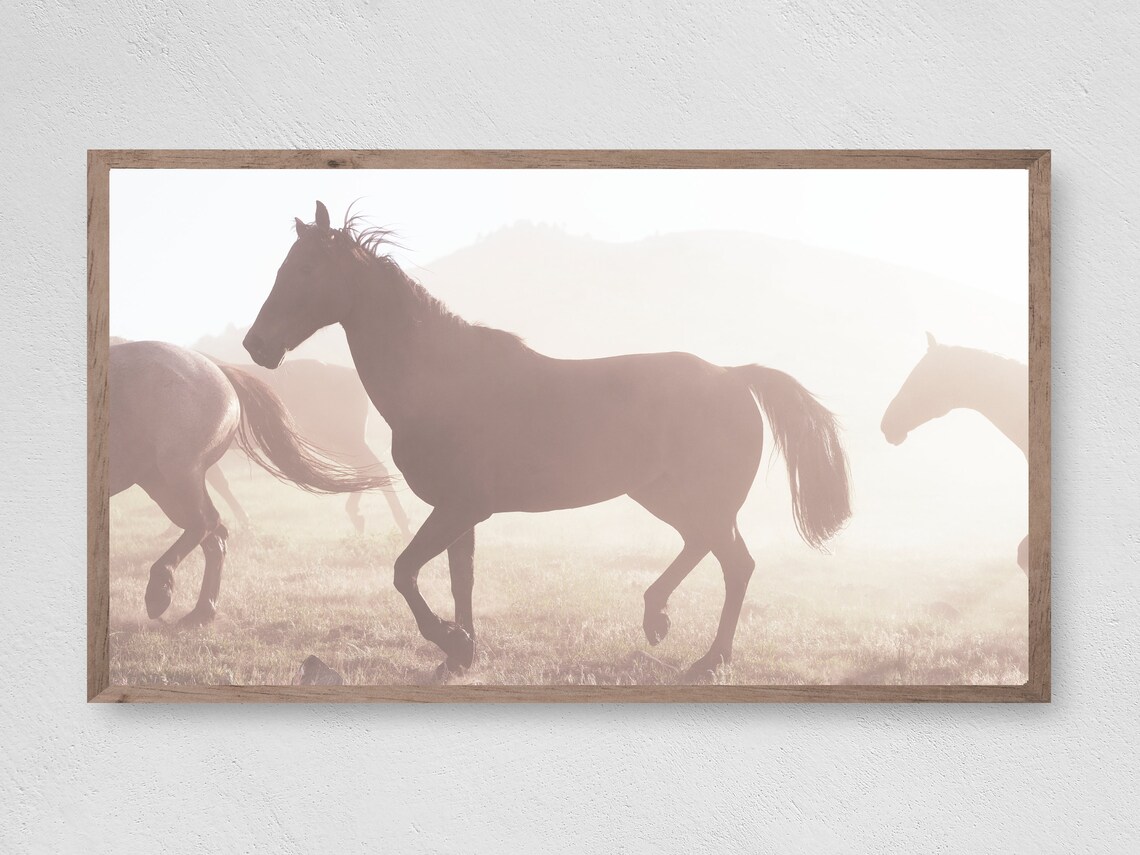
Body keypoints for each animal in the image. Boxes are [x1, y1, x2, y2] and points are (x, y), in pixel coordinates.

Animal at [203, 359, 413, 539]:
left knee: (375, 468)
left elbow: (220, 484)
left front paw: (245, 525)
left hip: (341, 439)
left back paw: (401, 526)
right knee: (366, 470)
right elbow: (220, 483)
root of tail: (352, 375)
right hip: (335, 442)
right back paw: (360, 516)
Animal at [242, 202, 852, 681]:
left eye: (306, 269)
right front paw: (461, 652)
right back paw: (673, 629)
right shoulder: (459, 511)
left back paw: (693, 647)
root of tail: (733, 375)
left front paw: (452, 641)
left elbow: (404, 572)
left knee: (732, 562)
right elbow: (460, 580)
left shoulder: (460, 506)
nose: (255, 345)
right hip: (664, 496)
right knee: (716, 553)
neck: (442, 380)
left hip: (696, 500)